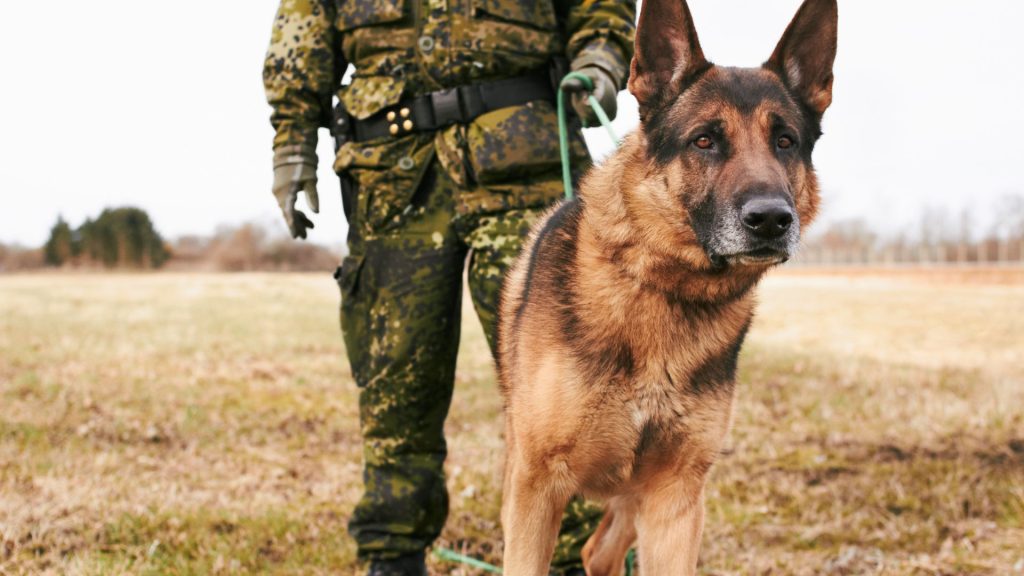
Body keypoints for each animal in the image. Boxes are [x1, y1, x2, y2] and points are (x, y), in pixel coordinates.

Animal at [497, 0, 839, 569]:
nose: (771, 219)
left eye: (785, 142)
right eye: (705, 140)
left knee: (598, 552)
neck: (663, 290)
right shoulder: (536, 488)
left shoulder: (676, 499)